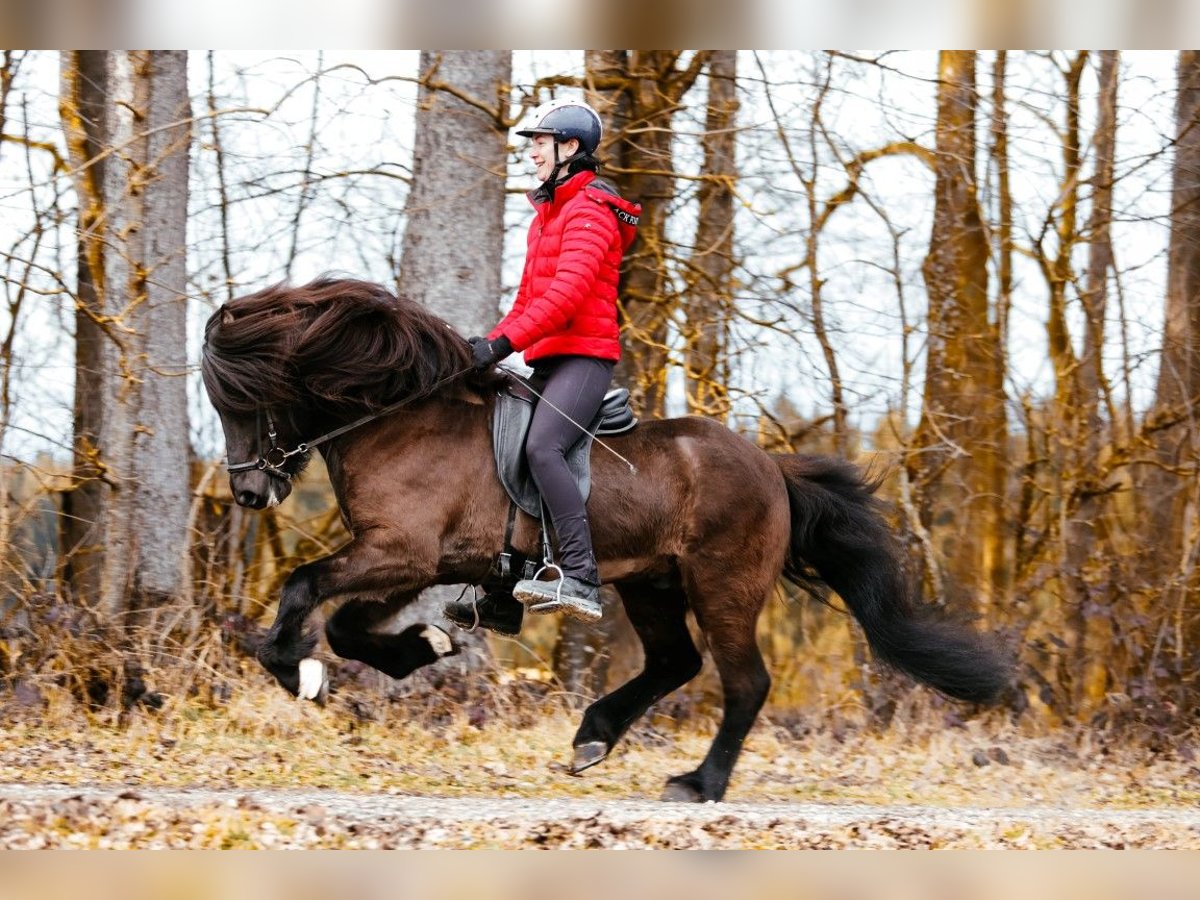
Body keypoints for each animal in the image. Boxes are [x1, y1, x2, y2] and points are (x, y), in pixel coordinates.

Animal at [199, 274, 1012, 801]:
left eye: (244, 400)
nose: (249, 492)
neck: (401, 418)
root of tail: (772, 468)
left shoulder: (400, 551)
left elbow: (306, 587)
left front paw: (298, 672)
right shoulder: (410, 561)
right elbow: (346, 623)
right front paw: (419, 648)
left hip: (722, 585)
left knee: (744, 681)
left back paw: (699, 783)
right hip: (650, 583)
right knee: (675, 662)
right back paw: (595, 736)